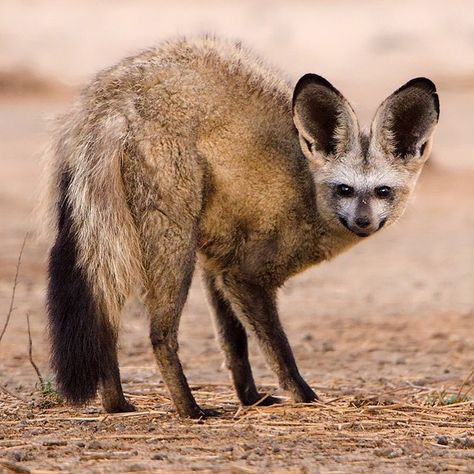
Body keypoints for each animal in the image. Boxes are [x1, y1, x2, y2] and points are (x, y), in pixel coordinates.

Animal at [42, 35, 438, 416]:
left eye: (383, 191)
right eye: (345, 189)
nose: (363, 222)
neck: (306, 191)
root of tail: (115, 99)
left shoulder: (217, 264)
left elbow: (234, 345)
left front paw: (250, 398)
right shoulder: (244, 276)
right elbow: (278, 350)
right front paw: (305, 398)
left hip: (113, 243)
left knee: (104, 323)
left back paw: (116, 405)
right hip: (172, 245)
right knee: (159, 334)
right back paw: (189, 409)